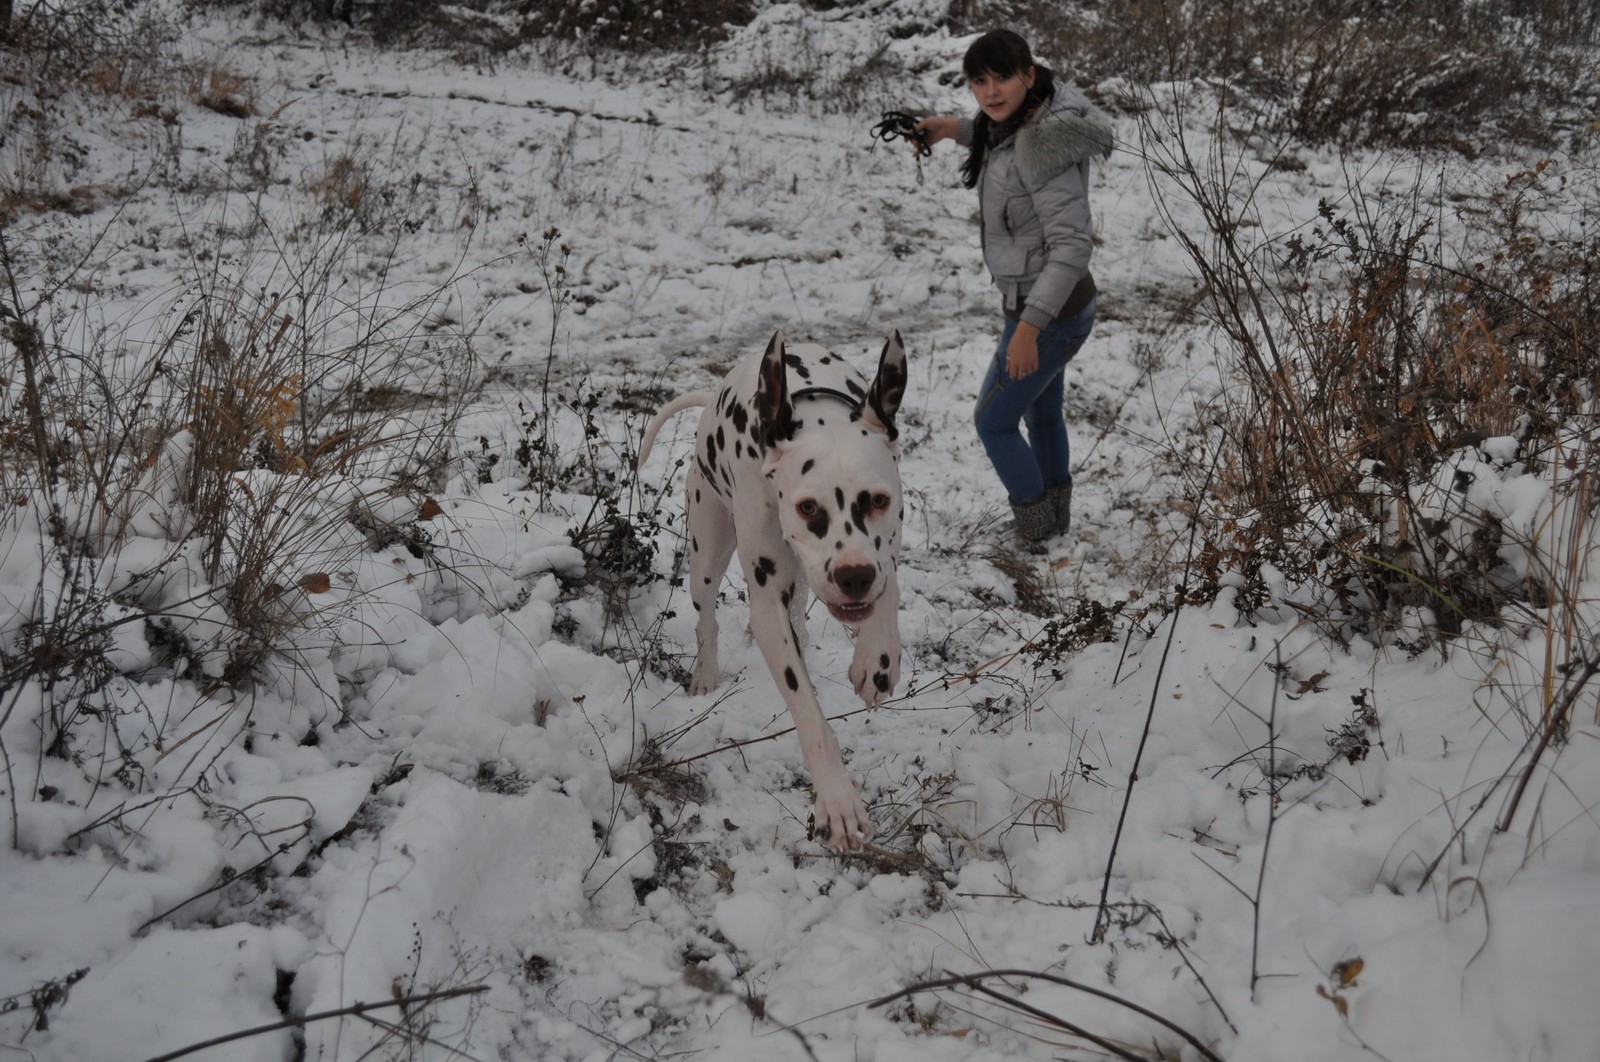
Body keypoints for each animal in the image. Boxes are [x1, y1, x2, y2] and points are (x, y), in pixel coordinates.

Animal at [640, 327, 915, 850]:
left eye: (878, 500)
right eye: (808, 507)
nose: (853, 576)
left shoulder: (886, 544)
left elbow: (888, 590)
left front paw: (877, 659)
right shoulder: (767, 605)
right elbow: (808, 712)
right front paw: (837, 801)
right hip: (707, 553)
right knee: (706, 619)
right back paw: (706, 674)